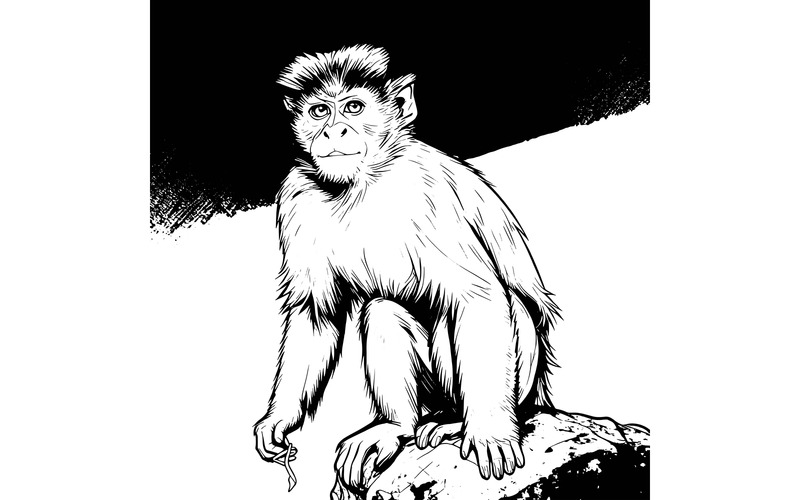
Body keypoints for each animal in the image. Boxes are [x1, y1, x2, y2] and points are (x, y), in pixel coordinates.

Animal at [253, 45, 560, 494]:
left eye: (353, 107)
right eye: (319, 111)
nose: (333, 132)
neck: (362, 183)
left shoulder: (426, 193)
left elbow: (478, 297)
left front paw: (489, 430)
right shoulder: (297, 197)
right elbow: (315, 312)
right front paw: (280, 418)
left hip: (523, 373)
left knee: (490, 310)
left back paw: (456, 422)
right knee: (384, 310)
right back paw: (396, 426)